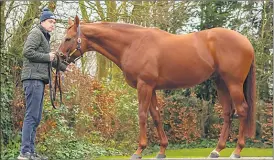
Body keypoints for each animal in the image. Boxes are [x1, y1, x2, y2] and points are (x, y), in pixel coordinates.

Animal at [56, 15, 256, 158]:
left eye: (68, 38)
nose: (58, 58)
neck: (133, 43)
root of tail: (246, 42)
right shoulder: (151, 88)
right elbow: (156, 116)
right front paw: (161, 151)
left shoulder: (144, 86)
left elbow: (142, 115)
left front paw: (139, 151)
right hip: (220, 83)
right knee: (228, 113)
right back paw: (216, 150)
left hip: (233, 83)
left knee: (242, 110)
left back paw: (236, 151)